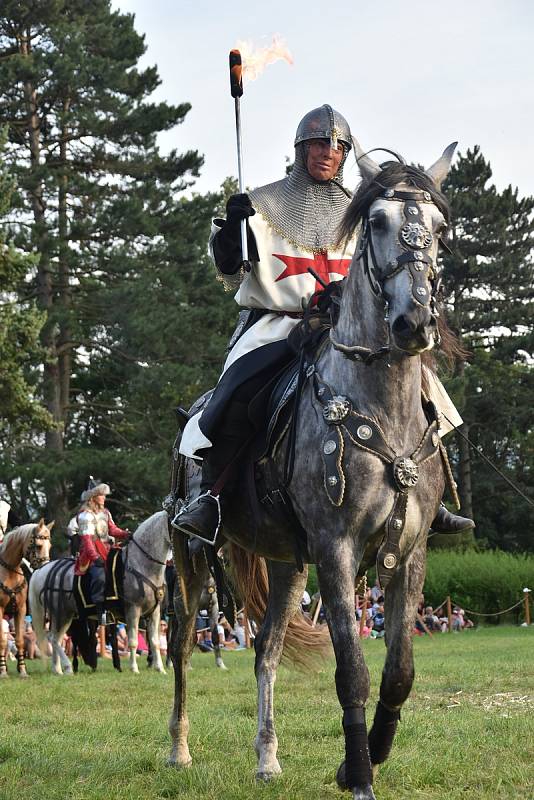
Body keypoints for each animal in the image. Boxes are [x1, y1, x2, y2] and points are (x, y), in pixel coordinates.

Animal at [0, 520, 53, 680]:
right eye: (39, 545)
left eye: (50, 546)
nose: (45, 568)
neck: (9, 572)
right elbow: (3, 641)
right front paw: (3, 671)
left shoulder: (21, 609)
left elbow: (20, 640)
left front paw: (23, 670)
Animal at [29, 510, 172, 672]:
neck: (139, 565)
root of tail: (44, 570)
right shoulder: (133, 609)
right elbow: (133, 641)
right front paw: (134, 669)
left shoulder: (155, 611)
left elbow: (154, 641)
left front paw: (160, 669)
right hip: (60, 614)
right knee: (53, 638)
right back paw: (67, 667)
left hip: (67, 615)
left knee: (56, 639)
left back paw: (58, 670)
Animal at [170, 141, 458, 796]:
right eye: (376, 222)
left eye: (437, 228)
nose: (414, 324)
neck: (380, 401)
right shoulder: (336, 548)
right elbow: (351, 670)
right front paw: (359, 773)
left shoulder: (409, 552)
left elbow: (399, 672)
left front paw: (365, 756)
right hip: (190, 556)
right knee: (179, 648)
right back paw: (178, 747)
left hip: (284, 565)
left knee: (266, 654)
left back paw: (267, 757)